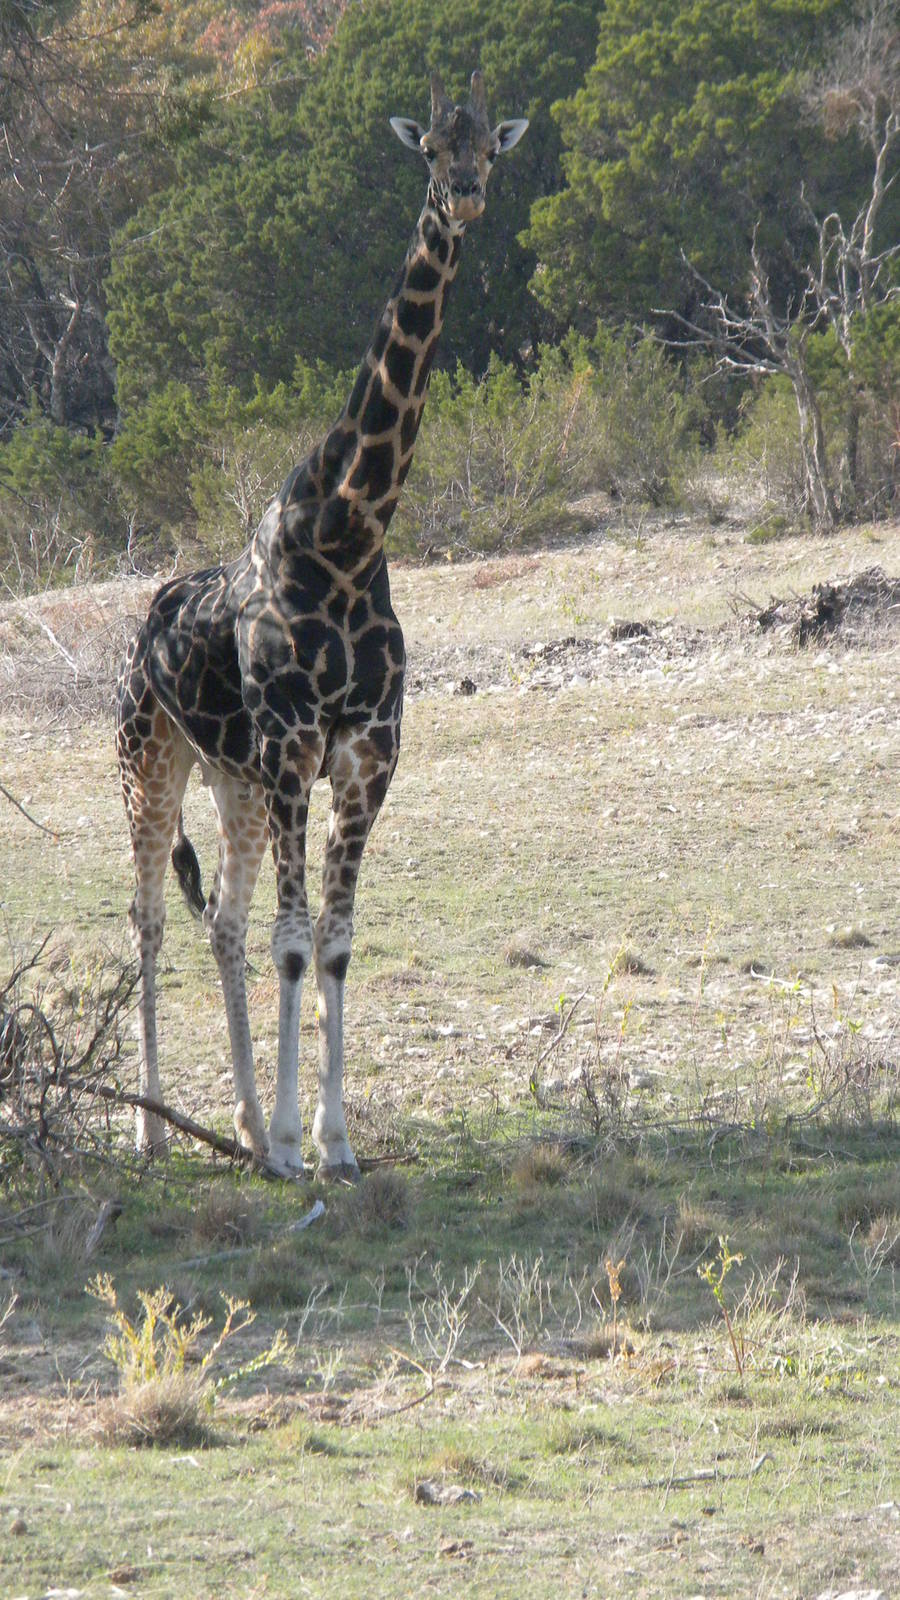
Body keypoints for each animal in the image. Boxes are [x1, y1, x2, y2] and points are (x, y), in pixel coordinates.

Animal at [116, 70, 528, 1180]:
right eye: (428, 148)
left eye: (493, 146)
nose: (465, 195)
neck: (346, 535)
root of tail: (145, 625)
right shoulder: (297, 746)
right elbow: (296, 943)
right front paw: (303, 1147)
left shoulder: (367, 752)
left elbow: (333, 941)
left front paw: (332, 1142)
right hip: (150, 758)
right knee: (149, 915)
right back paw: (153, 1125)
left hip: (235, 779)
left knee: (221, 921)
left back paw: (248, 1125)